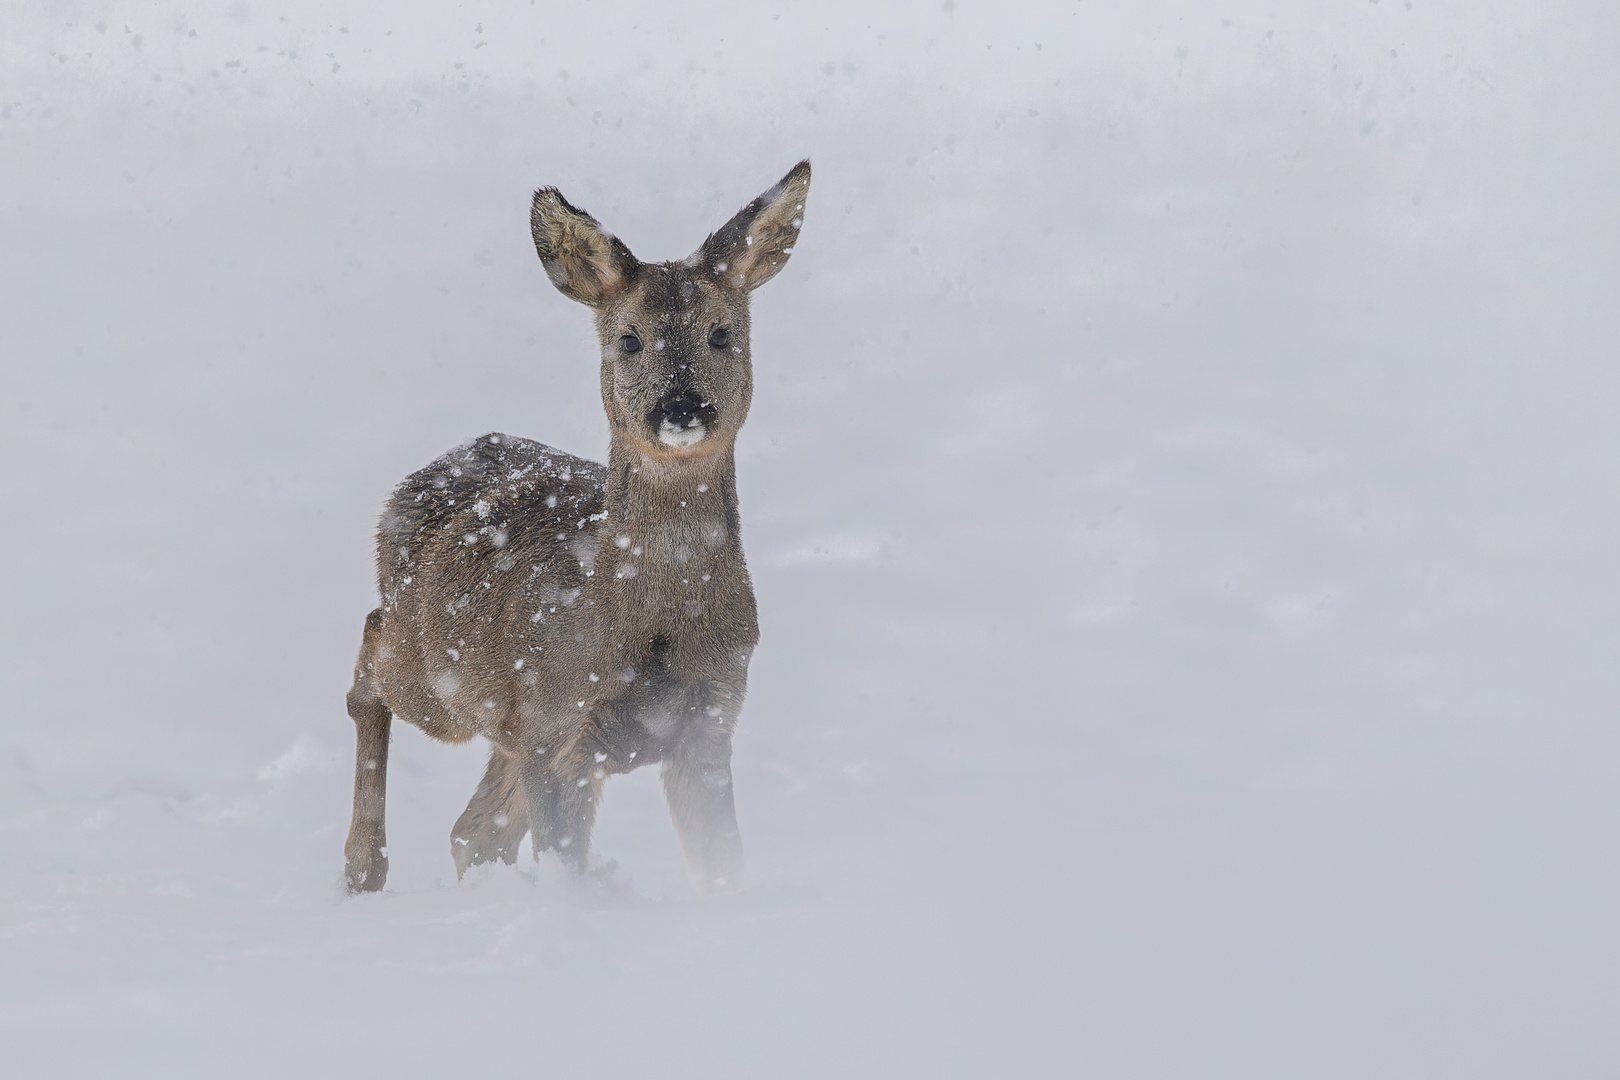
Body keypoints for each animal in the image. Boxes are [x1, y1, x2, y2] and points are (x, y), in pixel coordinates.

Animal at [348, 160, 816, 900]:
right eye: (629, 338)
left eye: (721, 333)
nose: (681, 406)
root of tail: (410, 486)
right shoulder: (556, 722)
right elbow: (564, 854)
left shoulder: (710, 719)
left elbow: (722, 861)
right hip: (441, 682)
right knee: (369, 657)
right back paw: (363, 869)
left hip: (502, 722)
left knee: (472, 831)